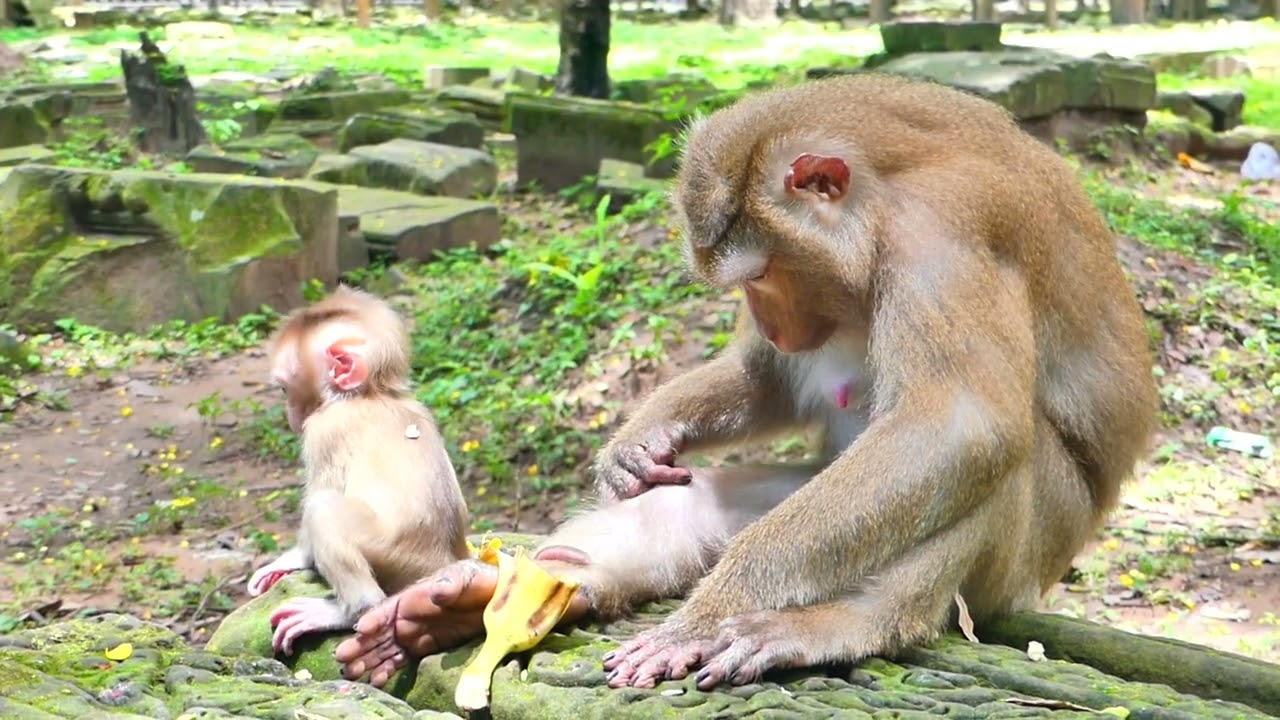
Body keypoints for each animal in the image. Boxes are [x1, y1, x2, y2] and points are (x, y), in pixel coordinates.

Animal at [246, 285, 471, 656]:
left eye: (283, 388)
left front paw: (289, 560)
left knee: (323, 508)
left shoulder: (324, 431)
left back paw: (350, 610)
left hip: (394, 555)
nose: (290, 416)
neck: (368, 394)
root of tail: (443, 563)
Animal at [331, 72, 1157, 691]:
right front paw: (639, 440)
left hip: (1022, 560)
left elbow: (959, 424)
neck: (883, 201)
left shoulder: (941, 240)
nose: (770, 321)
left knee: (983, 462)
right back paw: (500, 599)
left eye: (761, 274)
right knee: (698, 505)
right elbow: (768, 384)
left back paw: (843, 625)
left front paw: (710, 612)